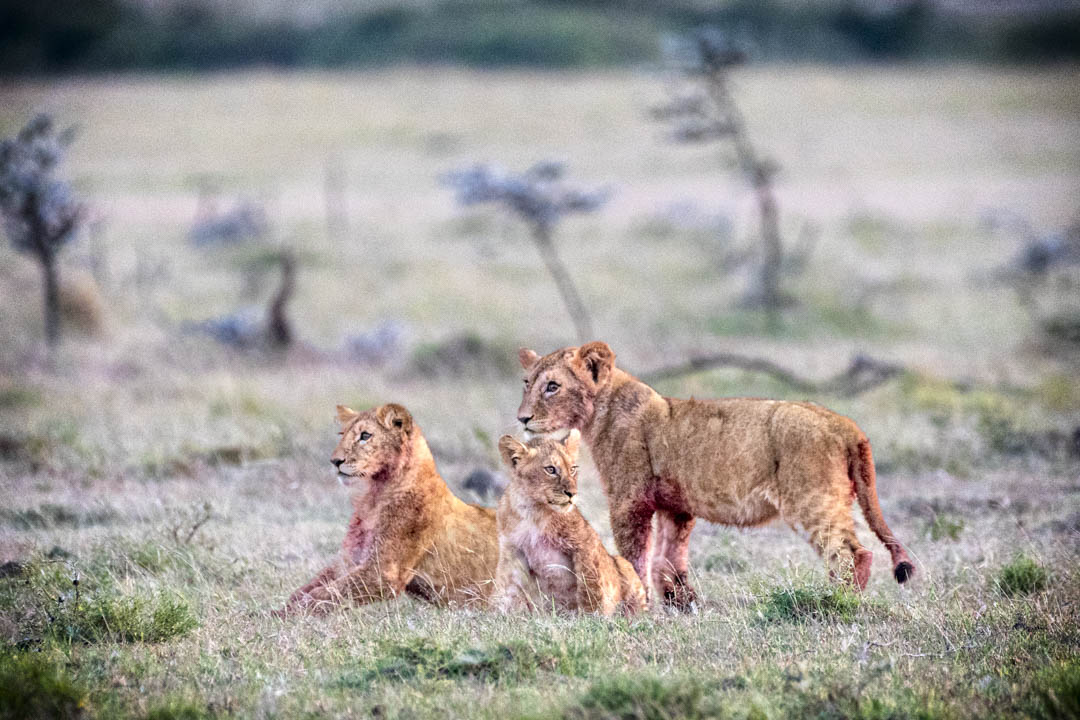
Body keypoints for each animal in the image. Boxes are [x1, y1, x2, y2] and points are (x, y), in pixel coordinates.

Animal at [275, 403, 499, 616]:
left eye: (365, 436)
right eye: (342, 434)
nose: (335, 461)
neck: (374, 496)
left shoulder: (383, 572)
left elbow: (324, 594)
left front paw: (289, 618)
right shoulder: (349, 560)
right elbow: (305, 590)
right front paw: (275, 613)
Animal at [493, 430, 647, 616]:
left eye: (573, 469)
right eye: (551, 469)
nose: (572, 493)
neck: (533, 511)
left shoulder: (585, 543)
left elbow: (589, 585)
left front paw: (591, 616)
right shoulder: (512, 551)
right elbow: (508, 588)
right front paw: (501, 613)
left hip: (623, 564)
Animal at [515, 342, 915, 610]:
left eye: (552, 386)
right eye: (526, 382)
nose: (522, 419)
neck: (602, 409)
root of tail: (845, 424)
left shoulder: (629, 502)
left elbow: (635, 558)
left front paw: (638, 605)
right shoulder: (675, 506)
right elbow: (668, 560)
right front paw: (681, 605)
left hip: (811, 500)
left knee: (853, 553)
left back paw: (838, 601)